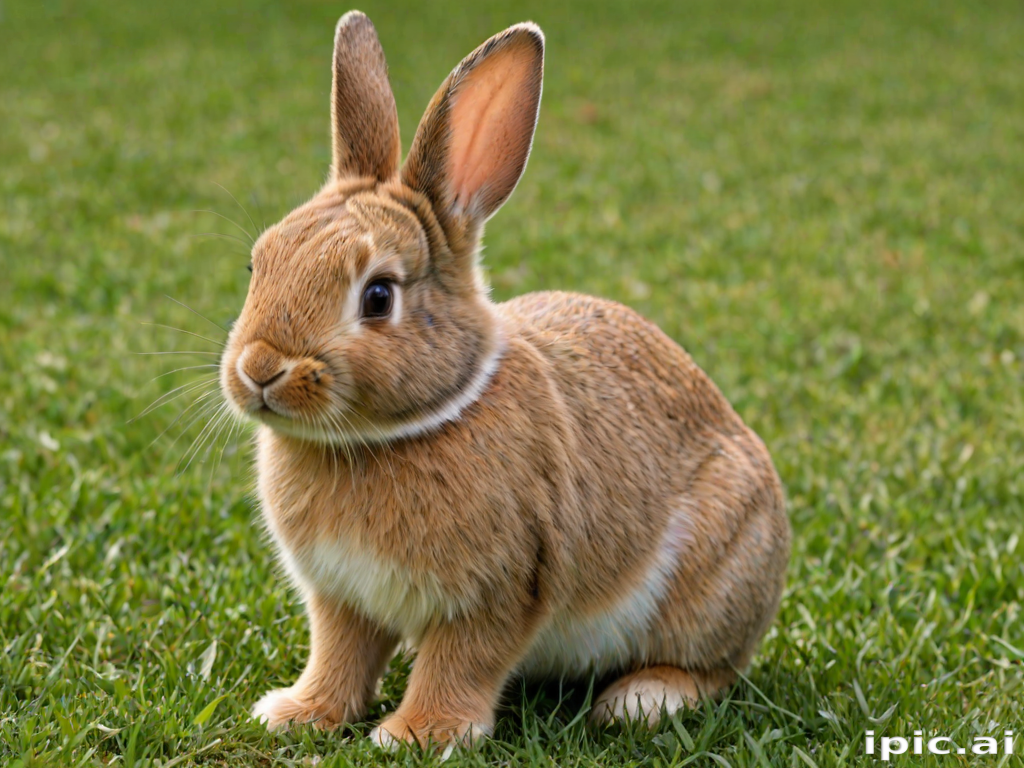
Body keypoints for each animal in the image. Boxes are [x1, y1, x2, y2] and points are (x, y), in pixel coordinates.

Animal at [218, 9, 790, 750]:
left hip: (712, 583)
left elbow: (460, 661)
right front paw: (297, 712)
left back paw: (639, 700)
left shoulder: (502, 588)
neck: (388, 435)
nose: (259, 369)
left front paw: (419, 735)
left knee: (713, 668)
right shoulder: (341, 597)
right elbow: (339, 656)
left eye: (377, 297)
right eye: (259, 264)